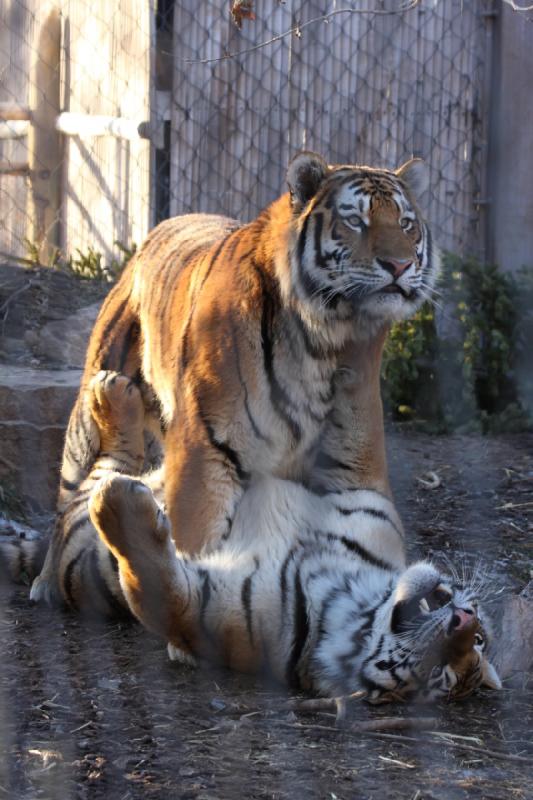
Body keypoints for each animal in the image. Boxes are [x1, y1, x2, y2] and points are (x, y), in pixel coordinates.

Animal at [30, 150, 436, 604]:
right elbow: (197, 538)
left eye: (406, 222)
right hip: (90, 404)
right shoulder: (205, 445)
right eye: (355, 220)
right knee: (70, 492)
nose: (400, 265)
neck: (324, 339)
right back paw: (46, 582)